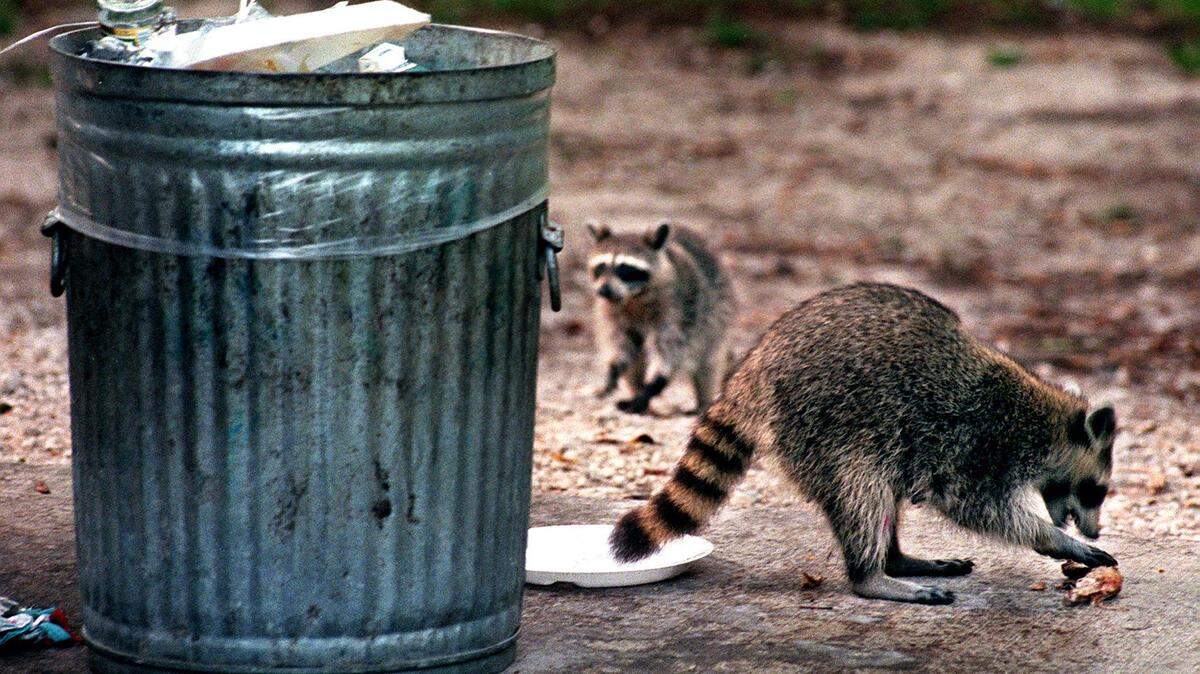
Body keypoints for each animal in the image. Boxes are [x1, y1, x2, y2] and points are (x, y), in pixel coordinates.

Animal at [587, 222, 736, 415]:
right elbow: (620, 342)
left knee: (708, 362)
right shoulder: (611, 310)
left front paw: (655, 383)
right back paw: (637, 391)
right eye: (601, 267)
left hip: (718, 313)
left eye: (625, 269)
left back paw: (702, 401)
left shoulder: (679, 307)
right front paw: (614, 368)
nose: (603, 290)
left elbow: (671, 348)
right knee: (635, 360)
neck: (634, 297)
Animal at [610, 283, 1118, 605]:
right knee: (862, 491)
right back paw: (871, 575)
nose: (1093, 530)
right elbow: (977, 506)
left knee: (882, 490)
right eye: (1095, 489)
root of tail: (760, 358)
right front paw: (1052, 537)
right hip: (823, 423)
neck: (1047, 424)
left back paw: (896, 559)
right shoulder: (980, 441)